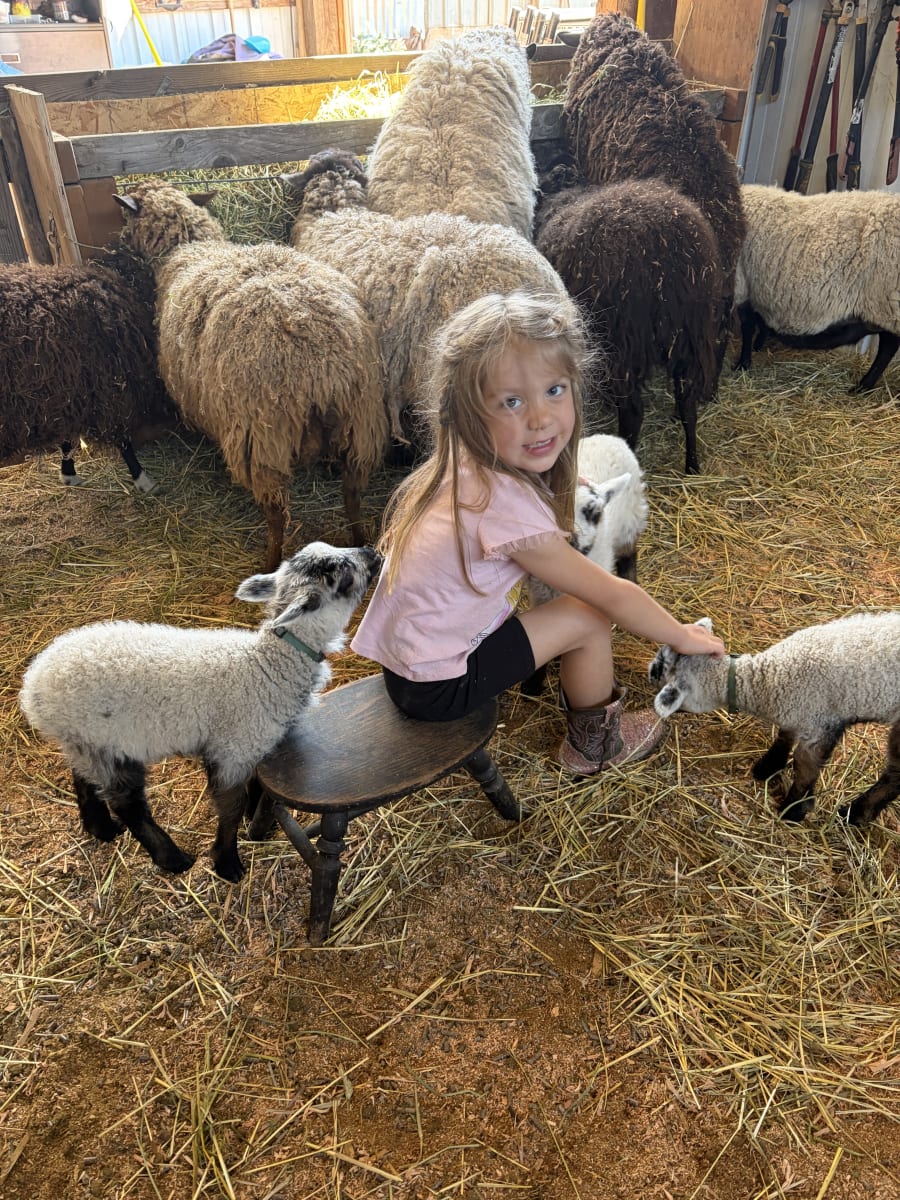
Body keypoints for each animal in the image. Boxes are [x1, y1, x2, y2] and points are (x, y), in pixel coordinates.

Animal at [0, 245, 176, 491]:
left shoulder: (66, 394)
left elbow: (67, 439)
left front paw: (68, 474)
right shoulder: (103, 388)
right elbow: (122, 439)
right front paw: (142, 479)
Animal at [19, 542, 382, 882]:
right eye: (339, 574)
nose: (372, 551)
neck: (267, 664)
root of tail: (33, 687)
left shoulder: (254, 743)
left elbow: (256, 787)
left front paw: (256, 820)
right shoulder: (234, 748)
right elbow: (230, 807)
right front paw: (227, 861)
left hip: (86, 739)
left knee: (83, 778)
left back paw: (101, 828)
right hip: (108, 740)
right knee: (127, 803)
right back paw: (171, 858)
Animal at [113, 179, 388, 570]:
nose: (119, 242)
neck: (190, 248)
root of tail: (324, 366)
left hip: (262, 438)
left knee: (277, 514)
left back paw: (270, 562)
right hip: (361, 423)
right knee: (352, 494)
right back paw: (360, 540)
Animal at [649, 613, 900, 824]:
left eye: (662, 670)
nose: (650, 672)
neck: (770, 678)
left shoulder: (818, 723)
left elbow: (804, 767)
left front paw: (795, 809)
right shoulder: (797, 712)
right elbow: (784, 736)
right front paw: (768, 766)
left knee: (895, 773)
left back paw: (855, 813)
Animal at [734, 184, 900, 391]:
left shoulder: (741, 285)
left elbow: (747, 326)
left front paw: (743, 363)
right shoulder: (752, 288)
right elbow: (756, 321)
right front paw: (757, 346)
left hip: (888, 305)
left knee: (888, 345)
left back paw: (863, 386)